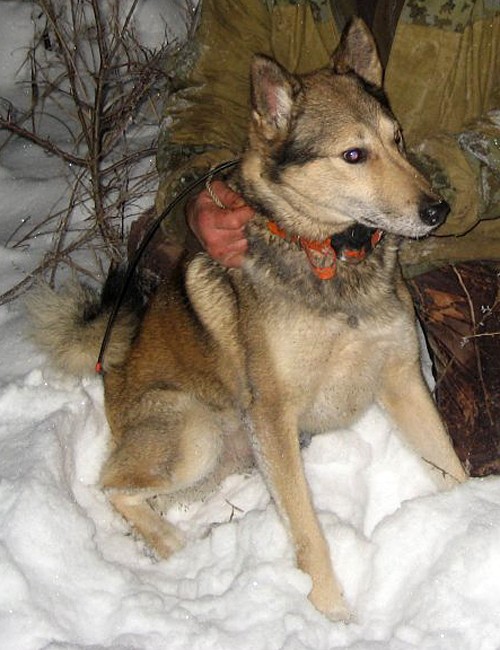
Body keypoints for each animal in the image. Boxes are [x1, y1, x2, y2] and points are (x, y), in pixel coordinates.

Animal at [27, 18, 467, 621]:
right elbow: (307, 530)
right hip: (197, 430)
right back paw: (173, 544)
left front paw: (477, 523)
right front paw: (331, 612)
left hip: (226, 455)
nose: (438, 209)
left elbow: (451, 466)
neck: (329, 259)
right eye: (354, 154)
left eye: (397, 139)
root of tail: (111, 372)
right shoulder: (274, 414)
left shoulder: (402, 379)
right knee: (112, 486)